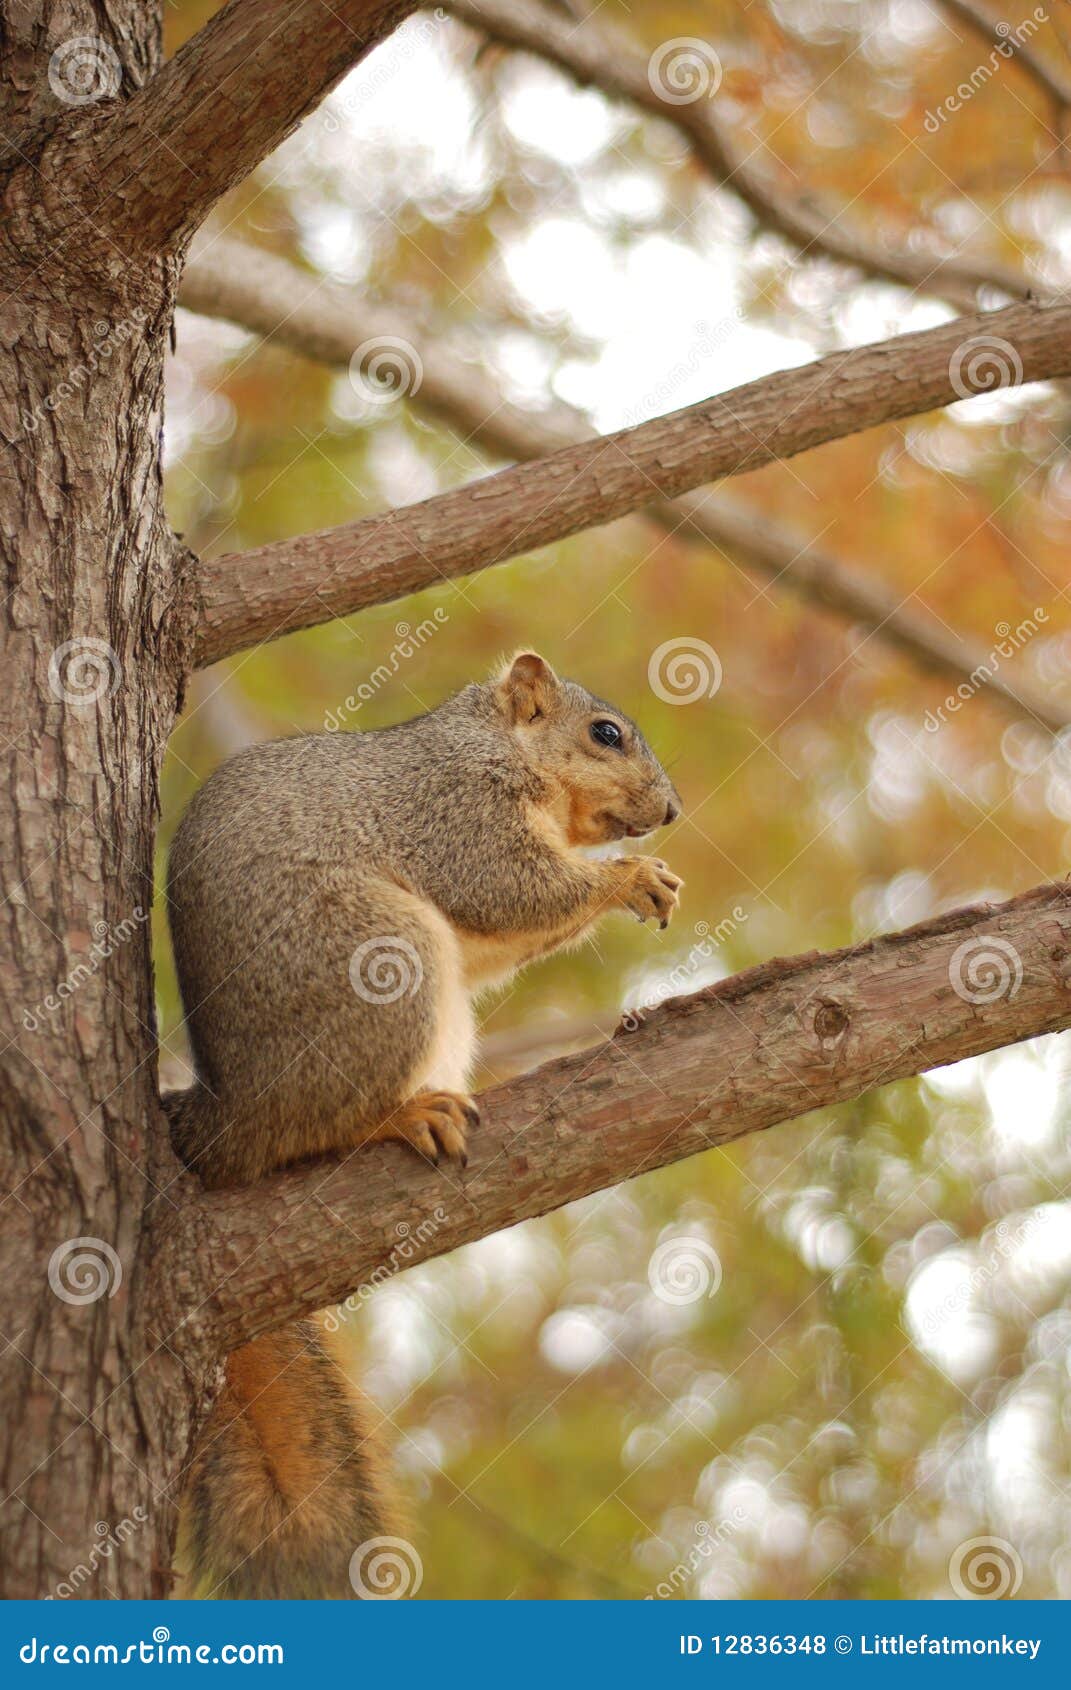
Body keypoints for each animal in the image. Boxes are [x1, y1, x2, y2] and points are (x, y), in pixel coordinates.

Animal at [164, 651, 682, 1598]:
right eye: (606, 734)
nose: (669, 811)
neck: (495, 745)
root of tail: (222, 1122)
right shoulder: (455, 811)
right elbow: (508, 887)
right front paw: (630, 876)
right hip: (379, 955)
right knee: (319, 1129)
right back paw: (404, 1114)